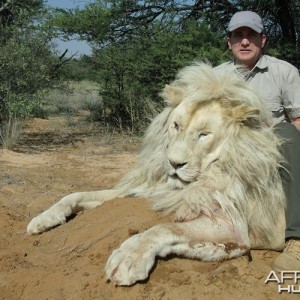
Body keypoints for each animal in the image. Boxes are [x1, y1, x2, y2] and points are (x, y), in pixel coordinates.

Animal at [27, 62, 286, 286]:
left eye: (204, 134)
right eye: (176, 126)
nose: (174, 163)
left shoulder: (233, 225)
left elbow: (163, 228)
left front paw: (128, 258)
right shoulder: (148, 190)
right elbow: (75, 195)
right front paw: (43, 219)